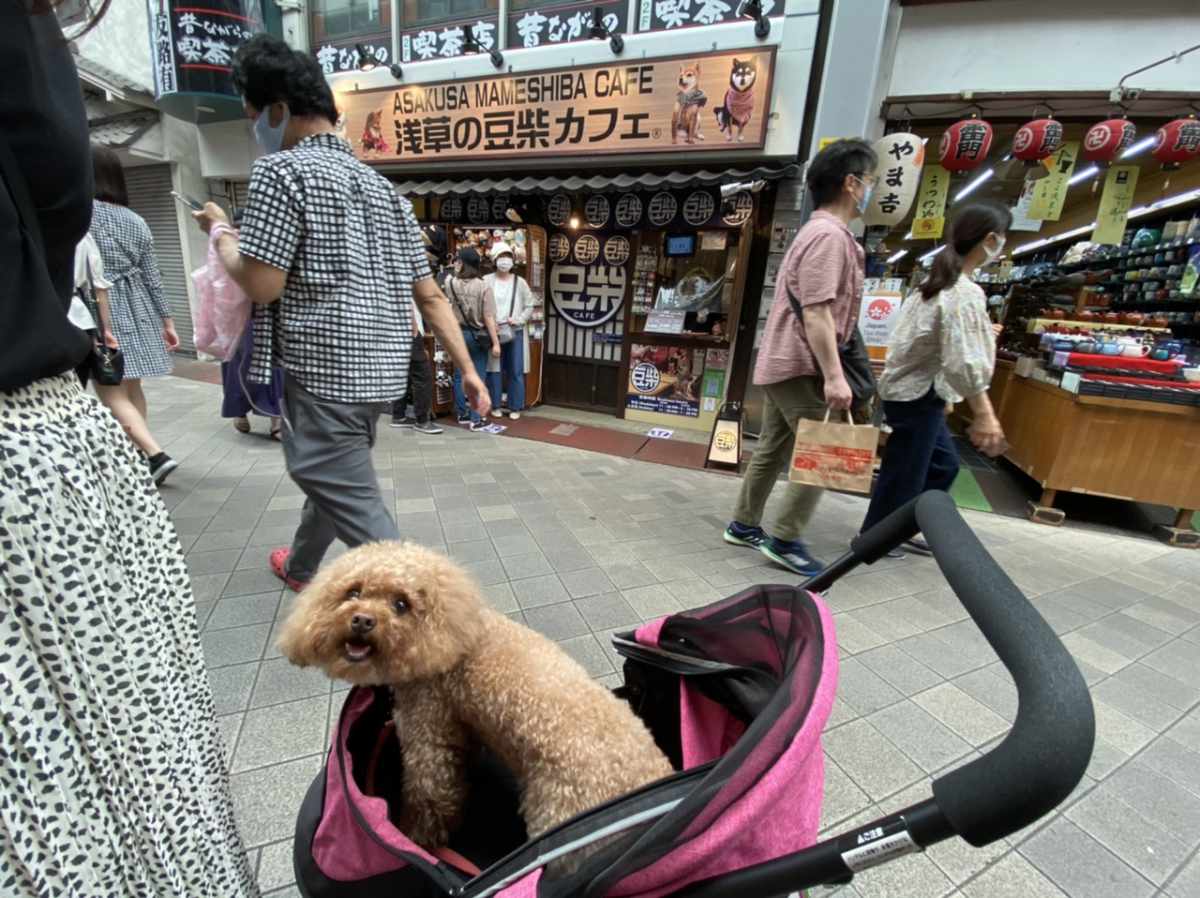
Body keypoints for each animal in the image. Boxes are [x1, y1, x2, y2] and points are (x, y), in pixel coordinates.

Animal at [278, 542, 676, 854]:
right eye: (353, 592)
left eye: (401, 604)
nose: (361, 620)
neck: (455, 638)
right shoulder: (459, 725)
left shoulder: (429, 734)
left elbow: (430, 796)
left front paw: (414, 839)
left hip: (558, 818)